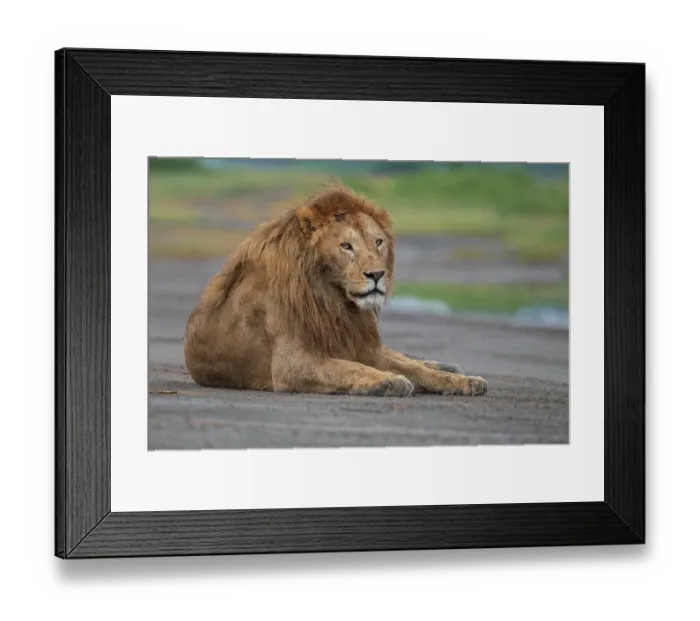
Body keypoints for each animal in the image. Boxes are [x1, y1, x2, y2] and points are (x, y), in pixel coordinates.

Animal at [184, 183, 487, 397]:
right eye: (346, 246)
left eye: (378, 242)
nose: (377, 274)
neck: (333, 300)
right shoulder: (291, 364)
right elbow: (346, 367)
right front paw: (388, 381)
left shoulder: (358, 343)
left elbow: (410, 367)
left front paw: (465, 382)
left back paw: (447, 366)